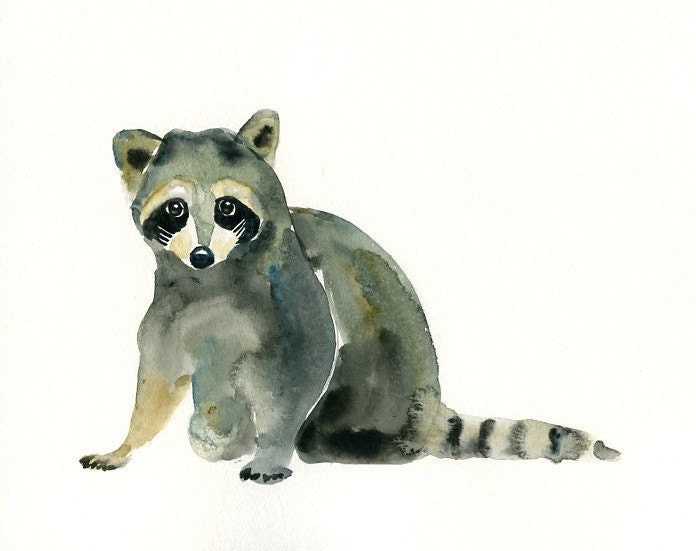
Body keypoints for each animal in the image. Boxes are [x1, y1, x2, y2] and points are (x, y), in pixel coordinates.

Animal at [80, 110, 619, 484]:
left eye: (227, 207)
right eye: (176, 209)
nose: (200, 255)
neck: (212, 281)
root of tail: (424, 404)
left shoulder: (291, 297)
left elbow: (297, 369)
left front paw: (269, 448)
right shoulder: (169, 313)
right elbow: (158, 382)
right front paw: (127, 443)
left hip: (380, 381)